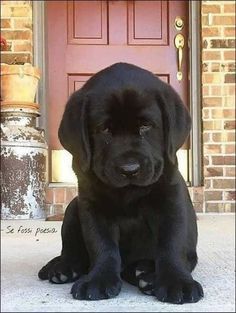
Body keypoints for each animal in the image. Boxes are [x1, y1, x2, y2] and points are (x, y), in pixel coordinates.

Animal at [38, 61, 203, 302]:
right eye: (105, 129)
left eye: (145, 126)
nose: (129, 170)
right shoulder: (93, 206)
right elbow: (102, 245)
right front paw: (99, 279)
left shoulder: (171, 201)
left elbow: (172, 243)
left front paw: (177, 282)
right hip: (72, 207)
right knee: (72, 251)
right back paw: (62, 267)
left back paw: (145, 274)